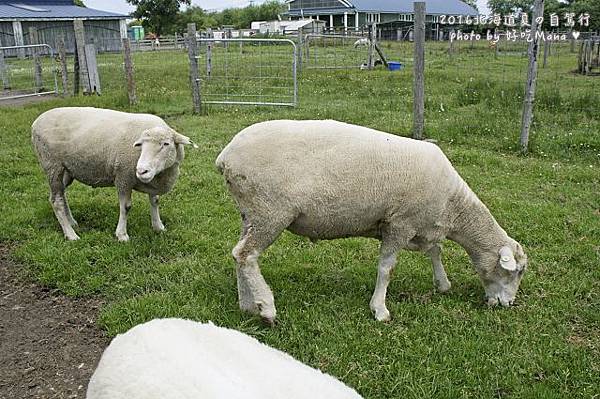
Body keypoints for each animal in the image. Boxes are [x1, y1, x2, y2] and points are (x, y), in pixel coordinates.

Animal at [31, 106, 195, 242]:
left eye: (166, 144)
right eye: (141, 145)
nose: (141, 170)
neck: (162, 174)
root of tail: (35, 123)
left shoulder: (153, 180)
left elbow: (155, 201)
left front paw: (158, 227)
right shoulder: (123, 176)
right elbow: (126, 207)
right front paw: (122, 235)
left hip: (66, 170)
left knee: (59, 195)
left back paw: (71, 222)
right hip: (52, 165)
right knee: (56, 201)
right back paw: (71, 234)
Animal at [218, 120, 528, 324]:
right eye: (517, 272)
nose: (508, 304)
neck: (454, 207)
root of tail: (225, 157)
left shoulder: (423, 224)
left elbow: (435, 251)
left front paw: (442, 283)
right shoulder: (400, 223)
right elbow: (386, 269)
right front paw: (380, 310)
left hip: (251, 213)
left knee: (240, 254)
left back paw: (248, 304)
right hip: (271, 212)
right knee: (247, 255)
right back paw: (267, 308)